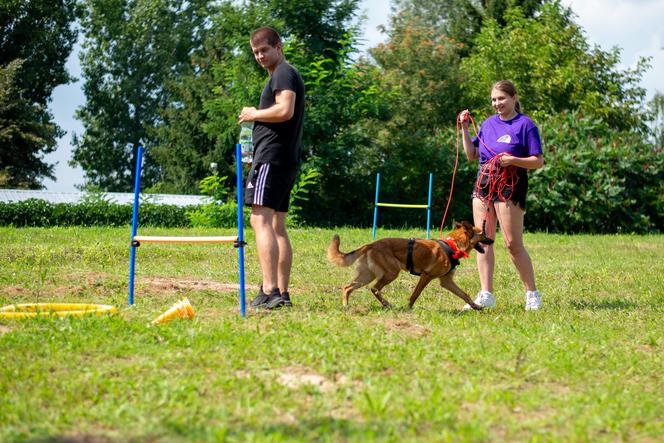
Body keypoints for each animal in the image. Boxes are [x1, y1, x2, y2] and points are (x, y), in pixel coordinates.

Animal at [326, 221, 492, 310]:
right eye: (483, 234)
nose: (492, 240)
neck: (453, 245)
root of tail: (371, 244)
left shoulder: (447, 282)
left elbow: (464, 295)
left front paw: (476, 307)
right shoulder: (426, 276)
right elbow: (415, 294)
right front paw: (409, 308)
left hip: (367, 275)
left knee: (347, 287)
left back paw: (346, 306)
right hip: (391, 273)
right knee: (374, 288)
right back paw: (387, 304)